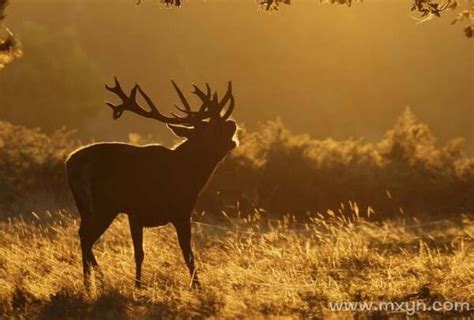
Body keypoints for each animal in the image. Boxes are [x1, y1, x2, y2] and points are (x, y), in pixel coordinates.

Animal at [65, 77, 237, 290]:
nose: (232, 122)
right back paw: (95, 282)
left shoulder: (135, 214)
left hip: (85, 207)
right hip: (104, 205)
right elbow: (186, 253)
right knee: (87, 237)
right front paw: (197, 286)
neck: (191, 175)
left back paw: (92, 282)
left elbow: (139, 253)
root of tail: (70, 163)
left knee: (83, 235)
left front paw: (138, 285)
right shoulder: (179, 211)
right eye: (213, 127)